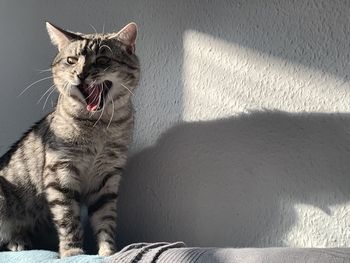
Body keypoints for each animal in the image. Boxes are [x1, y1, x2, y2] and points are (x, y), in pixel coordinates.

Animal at [0, 22, 139, 258]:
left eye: (103, 60)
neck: (98, 125)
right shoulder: (60, 172)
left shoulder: (108, 176)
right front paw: (73, 252)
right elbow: (68, 219)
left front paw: (108, 251)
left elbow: (105, 219)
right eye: (71, 61)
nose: (81, 74)